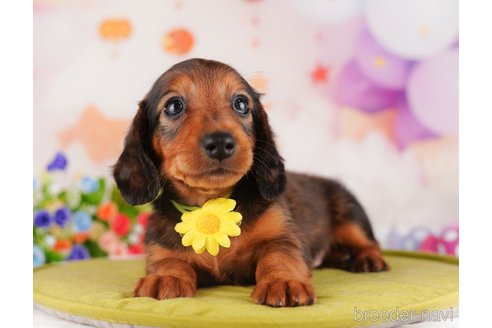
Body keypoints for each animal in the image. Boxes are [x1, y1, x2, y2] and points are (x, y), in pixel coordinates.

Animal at [112, 59, 388, 308]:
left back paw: (365, 258)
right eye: (173, 106)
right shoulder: (161, 248)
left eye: (241, 103)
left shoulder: (282, 237)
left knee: (370, 242)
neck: (210, 203)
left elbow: (277, 256)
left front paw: (282, 281)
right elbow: (170, 261)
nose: (220, 142)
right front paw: (165, 277)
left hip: (350, 214)